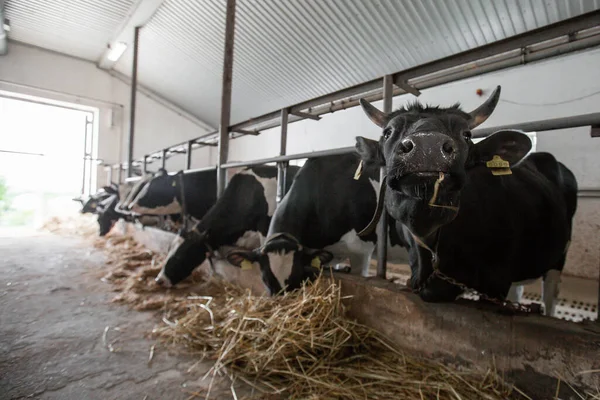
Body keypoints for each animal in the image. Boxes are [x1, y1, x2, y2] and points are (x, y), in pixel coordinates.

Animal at [354, 85, 580, 316]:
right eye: (387, 132)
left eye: (467, 134)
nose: (428, 146)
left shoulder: (496, 282)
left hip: (559, 255)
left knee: (550, 294)